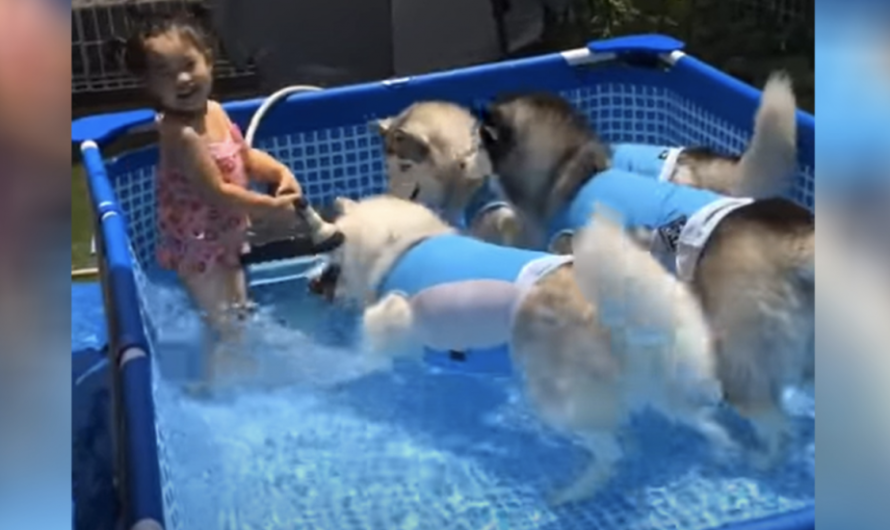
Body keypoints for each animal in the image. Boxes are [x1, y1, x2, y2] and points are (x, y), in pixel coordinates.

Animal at [306, 193, 728, 504]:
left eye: (327, 255)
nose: (309, 283)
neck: (402, 247)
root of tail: (628, 314)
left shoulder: (391, 316)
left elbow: (370, 347)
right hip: (666, 385)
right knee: (698, 419)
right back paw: (724, 448)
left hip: (557, 401)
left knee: (609, 452)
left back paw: (575, 490)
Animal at [478, 93, 812, 464]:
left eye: (481, 139)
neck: (572, 170)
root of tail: (795, 240)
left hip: (738, 356)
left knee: (771, 420)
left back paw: (760, 458)